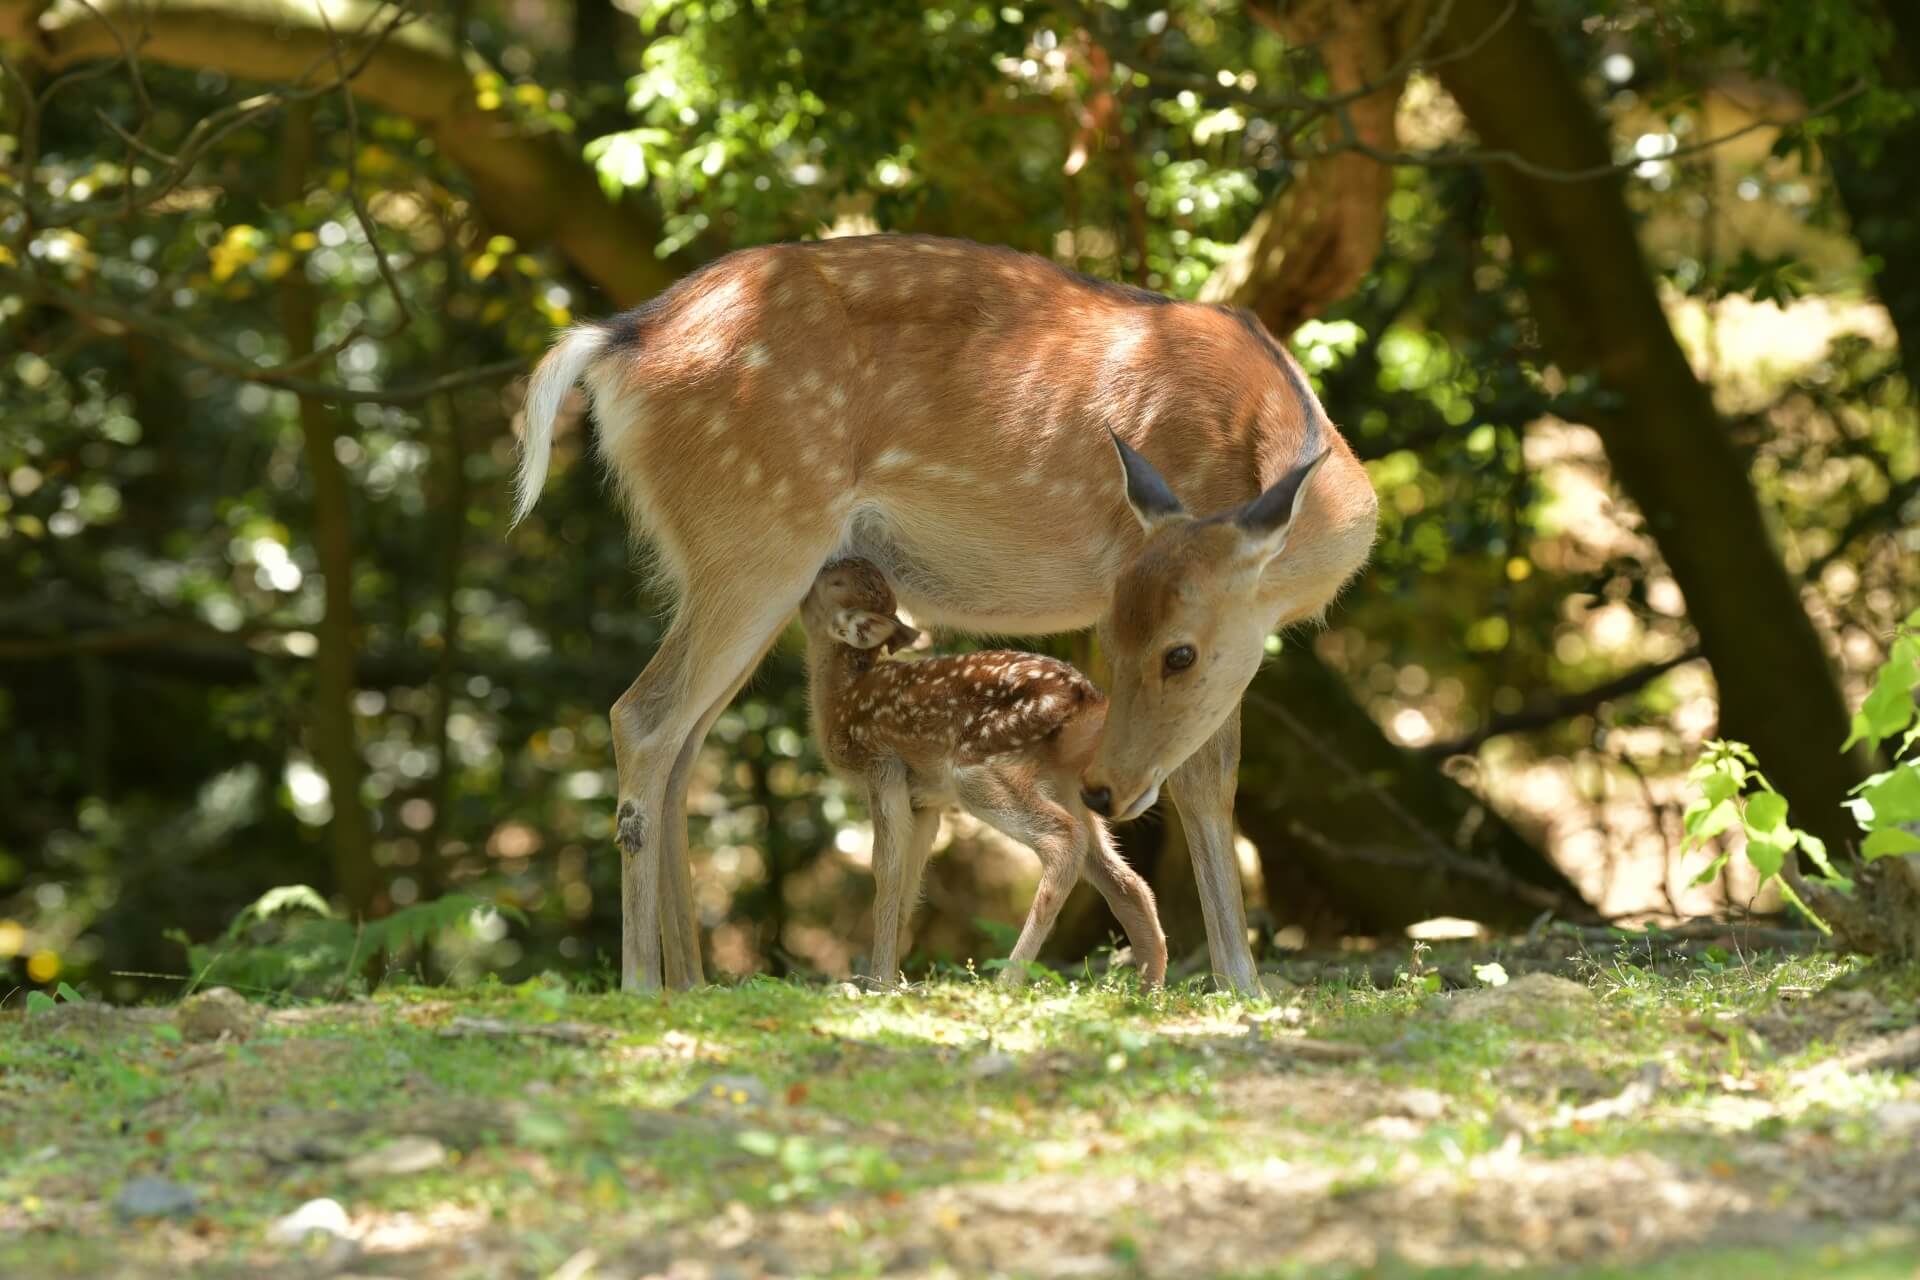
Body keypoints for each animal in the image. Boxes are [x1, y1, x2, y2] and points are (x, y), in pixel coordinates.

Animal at [514, 237, 1382, 997]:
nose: (1105, 792)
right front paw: (1244, 982)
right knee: (643, 718)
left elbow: (1215, 780)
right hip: (755, 532)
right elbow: (1204, 780)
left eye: (1176, 653)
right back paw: (641, 981)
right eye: (1133, 639)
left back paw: (694, 980)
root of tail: (614, 342)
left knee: (685, 745)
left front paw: (1242, 982)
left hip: (730, 562)